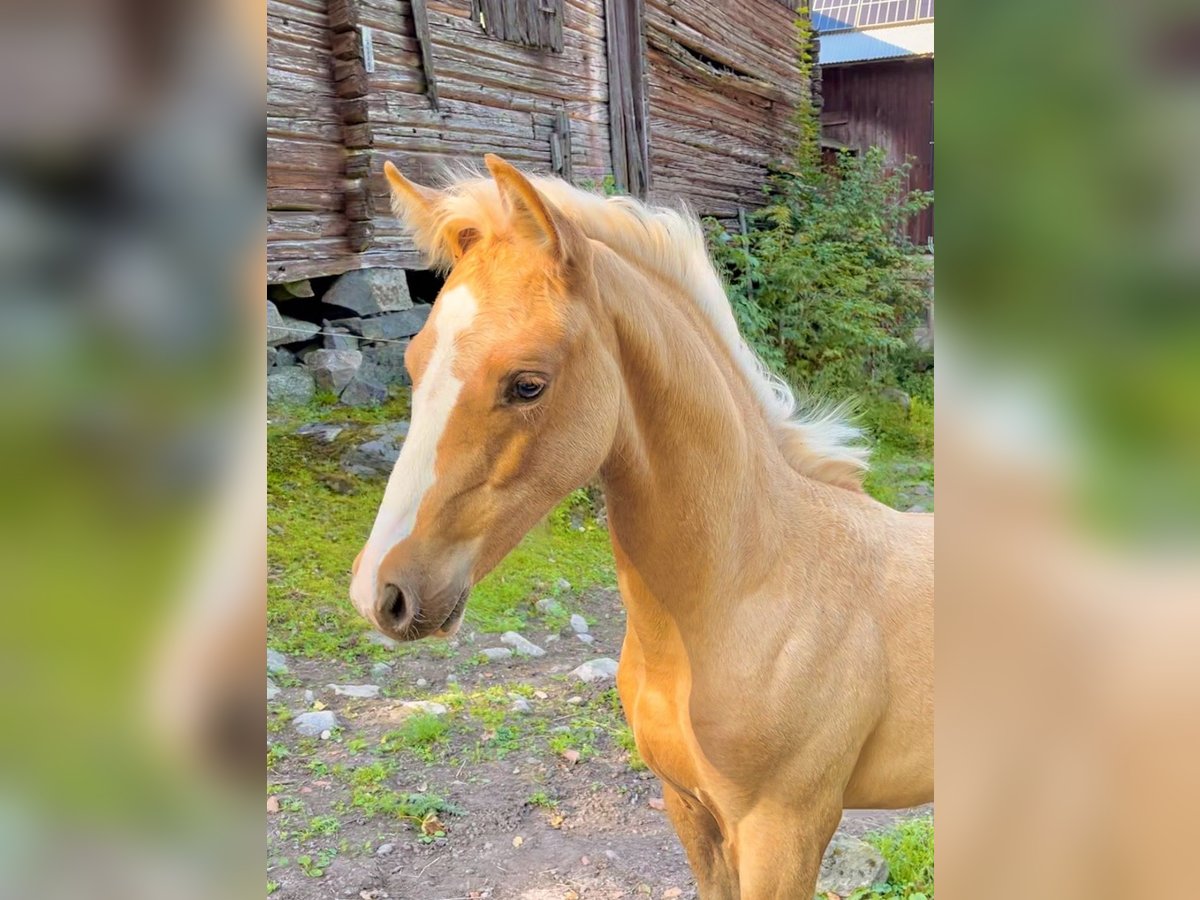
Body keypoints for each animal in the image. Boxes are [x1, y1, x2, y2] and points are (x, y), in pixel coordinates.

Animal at [348, 157, 936, 900]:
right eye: (413, 365)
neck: (753, 589)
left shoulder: (786, 833)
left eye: (527, 384)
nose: (382, 593)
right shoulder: (689, 810)